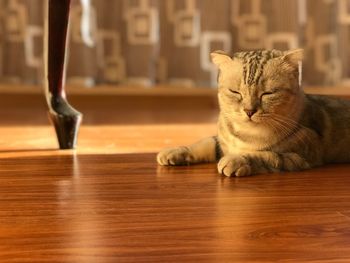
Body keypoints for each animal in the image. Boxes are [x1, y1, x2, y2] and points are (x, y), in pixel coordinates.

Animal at [157, 49, 350, 177]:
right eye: (235, 92)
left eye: (268, 93)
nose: (249, 110)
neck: (246, 135)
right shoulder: (220, 141)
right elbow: (205, 143)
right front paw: (174, 151)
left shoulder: (300, 156)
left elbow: (266, 156)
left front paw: (237, 160)